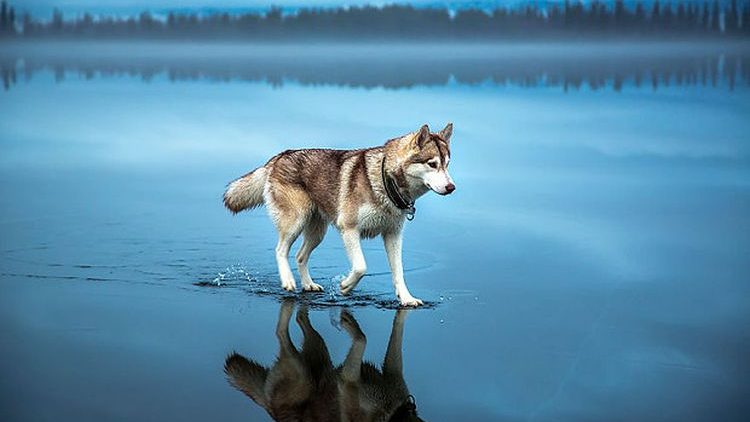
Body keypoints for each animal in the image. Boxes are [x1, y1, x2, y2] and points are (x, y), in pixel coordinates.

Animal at [223, 123, 456, 306]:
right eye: (432, 164)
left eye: (447, 165)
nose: (451, 187)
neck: (385, 180)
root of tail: (279, 156)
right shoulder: (349, 229)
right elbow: (361, 266)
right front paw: (345, 286)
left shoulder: (393, 235)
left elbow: (398, 271)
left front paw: (407, 299)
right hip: (295, 222)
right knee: (280, 250)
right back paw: (288, 281)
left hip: (317, 232)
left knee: (300, 256)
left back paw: (308, 285)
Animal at [223, 302, 424, 420]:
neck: (394, 413)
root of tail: (270, 409)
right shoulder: (347, 380)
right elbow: (362, 338)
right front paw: (349, 323)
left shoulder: (393, 372)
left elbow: (397, 330)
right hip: (303, 374)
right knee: (281, 331)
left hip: (319, 354)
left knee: (300, 318)